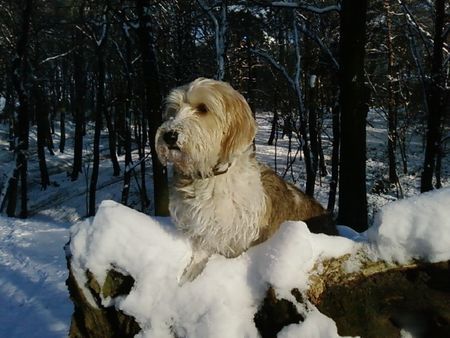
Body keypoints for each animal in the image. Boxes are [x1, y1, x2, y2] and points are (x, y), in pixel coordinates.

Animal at [156, 78, 336, 282]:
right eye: (173, 110)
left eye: (203, 108)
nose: (169, 135)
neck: (212, 177)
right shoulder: (200, 229)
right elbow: (200, 255)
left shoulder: (237, 239)